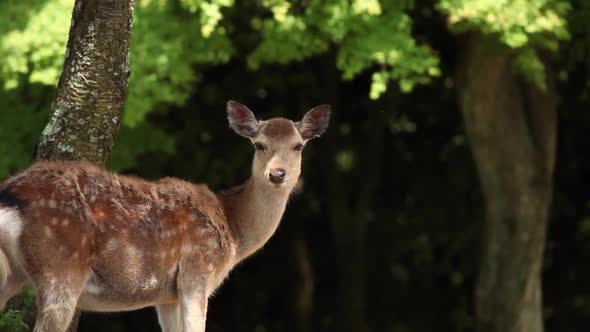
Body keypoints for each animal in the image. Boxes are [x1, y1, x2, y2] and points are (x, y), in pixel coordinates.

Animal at [0, 102, 330, 332]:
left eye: (298, 145)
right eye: (259, 144)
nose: (277, 174)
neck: (233, 229)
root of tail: (9, 195)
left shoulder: (165, 296)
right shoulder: (197, 271)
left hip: (12, 275)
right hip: (60, 267)